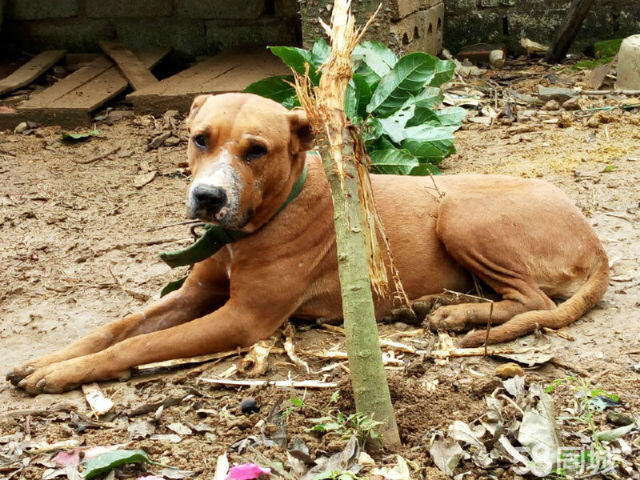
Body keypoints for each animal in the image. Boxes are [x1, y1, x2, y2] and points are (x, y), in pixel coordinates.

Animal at [7, 93, 608, 394]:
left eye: (257, 150)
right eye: (199, 139)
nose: (207, 197)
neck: (256, 222)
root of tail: (596, 241)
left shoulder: (243, 318)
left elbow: (138, 346)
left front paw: (63, 375)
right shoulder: (194, 294)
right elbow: (115, 329)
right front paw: (49, 361)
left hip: (459, 213)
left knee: (532, 300)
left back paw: (456, 316)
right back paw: (443, 307)